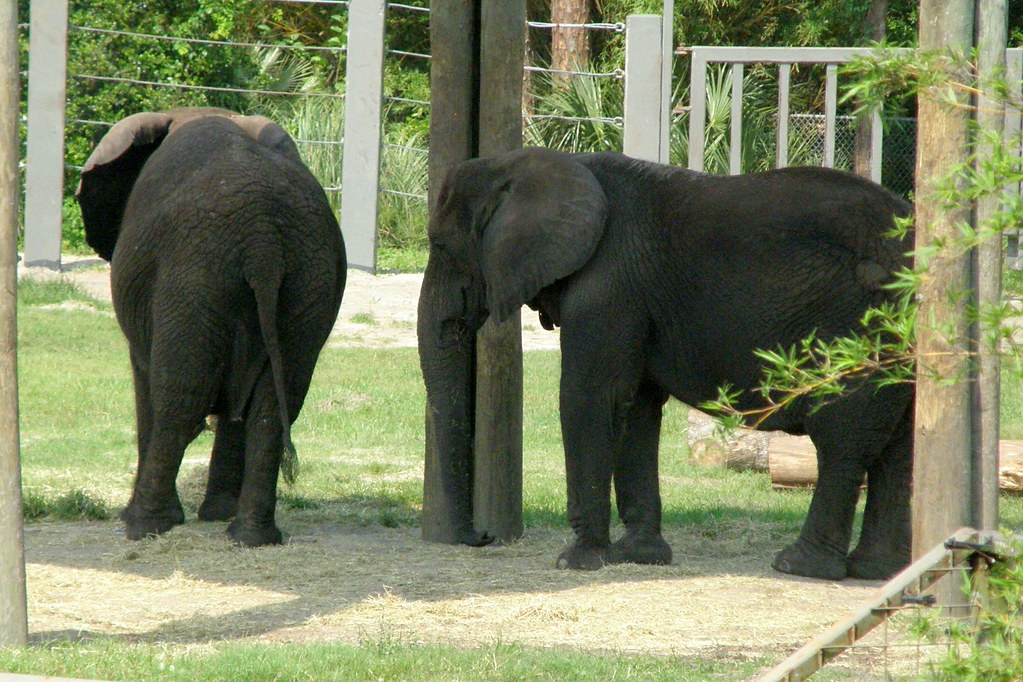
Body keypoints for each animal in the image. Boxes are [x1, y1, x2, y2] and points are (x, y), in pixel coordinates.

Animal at [76, 107, 346, 547]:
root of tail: (263, 238)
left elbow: (148, 382)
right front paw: (218, 514)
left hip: (193, 273)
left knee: (179, 398)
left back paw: (143, 525)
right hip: (307, 277)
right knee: (274, 405)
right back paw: (249, 536)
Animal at [417, 146, 914, 581]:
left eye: (439, 244)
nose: (481, 536)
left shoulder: (608, 286)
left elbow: (591, 398)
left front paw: (577, 562)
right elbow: (635, 406)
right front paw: (640, 557)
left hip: (859, 328)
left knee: (842, 439)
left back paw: (799, 567)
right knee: (898, 448)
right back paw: (875, 571)